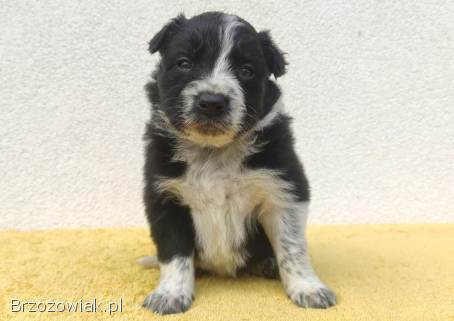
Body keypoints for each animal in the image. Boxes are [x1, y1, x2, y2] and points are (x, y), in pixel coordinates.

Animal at [142, 11, 336, 314]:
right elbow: (174, 253)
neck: (213, 151)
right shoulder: (164, 196)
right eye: (184, 63)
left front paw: (308, 288)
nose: (211, 102)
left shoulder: (284, 190)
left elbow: (292, 247)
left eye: (246, 70)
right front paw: (170, 294)